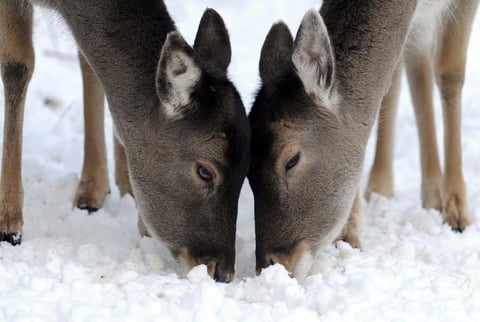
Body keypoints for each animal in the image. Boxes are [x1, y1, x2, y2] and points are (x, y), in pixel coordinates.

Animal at [0, 0, 251, 282]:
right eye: (205, 171)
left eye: (247, 170)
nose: (221, 271)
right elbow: (17, 65)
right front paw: (9, 224)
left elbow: (88, 62)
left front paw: (116, 189)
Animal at [366, 0, 478, 231]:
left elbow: (450, 73)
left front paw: (457, 210)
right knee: (408, 67)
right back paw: (380, 187)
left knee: (418, 64)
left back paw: (433, 195)